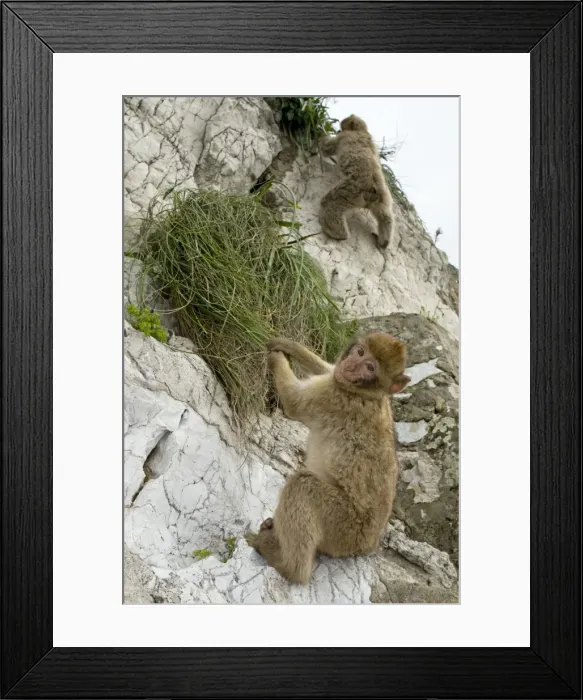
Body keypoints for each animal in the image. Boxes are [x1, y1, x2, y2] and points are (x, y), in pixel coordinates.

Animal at [245, 333, 410, 584]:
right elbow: (328, 369)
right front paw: (289, 346)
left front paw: (276, 359)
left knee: (303, 485)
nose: (350, 366)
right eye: (360, 353)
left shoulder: (333, 399)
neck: (367, 394)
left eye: (370, 368)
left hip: (343, 526)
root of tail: (368, 545)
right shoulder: (337, 382)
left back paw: (288, 565)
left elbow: (294, 401)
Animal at [318, 114, 395, 249]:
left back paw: (336, 231)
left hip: (351, 191)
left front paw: (320, 134)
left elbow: (326, 148)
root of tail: (374, 191)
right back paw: (384, 242)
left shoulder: (343, 137)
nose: (340, 126)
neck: (362, 131)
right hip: (383, 201)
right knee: (386, 218)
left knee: (332, 202)